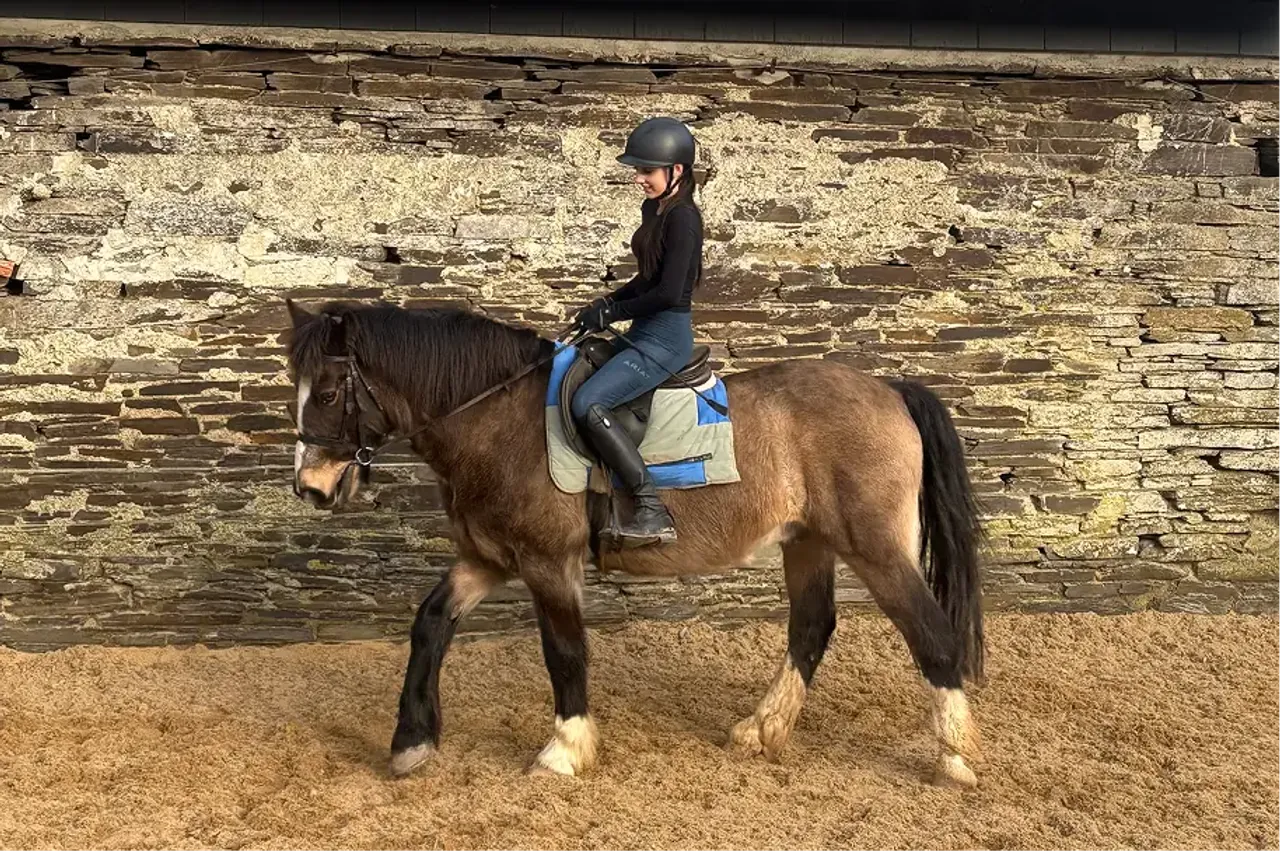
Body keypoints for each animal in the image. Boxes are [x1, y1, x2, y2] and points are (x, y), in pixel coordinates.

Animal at [284, 298, 986, 789]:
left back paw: (955, 757)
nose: (311, 488)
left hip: (875, 546)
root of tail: (889, 390)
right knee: (812, 626)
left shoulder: (547, 560)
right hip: (807, 541)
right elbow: (431, 624)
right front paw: (411, 743)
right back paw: (762, 729)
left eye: (328, 392)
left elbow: (564, 651)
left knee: (931, 634)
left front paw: (565, 750)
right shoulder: (488, 557)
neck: (496, 418)